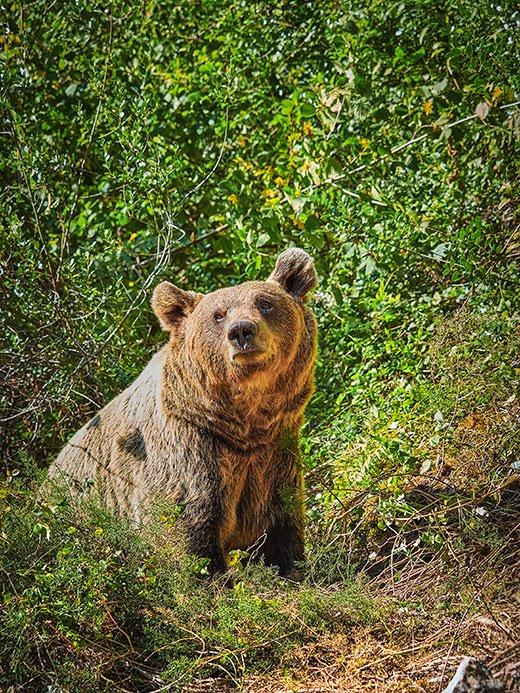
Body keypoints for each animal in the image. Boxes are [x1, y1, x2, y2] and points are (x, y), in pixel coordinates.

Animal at [48, 248, 318, 576]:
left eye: (265, 303)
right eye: (218, 314)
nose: (242, 331)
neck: (243, 424)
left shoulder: (276, 452)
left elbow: (281, 523)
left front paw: (287, 567)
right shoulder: (189, 447)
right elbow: (186, 522)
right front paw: (208, 575)